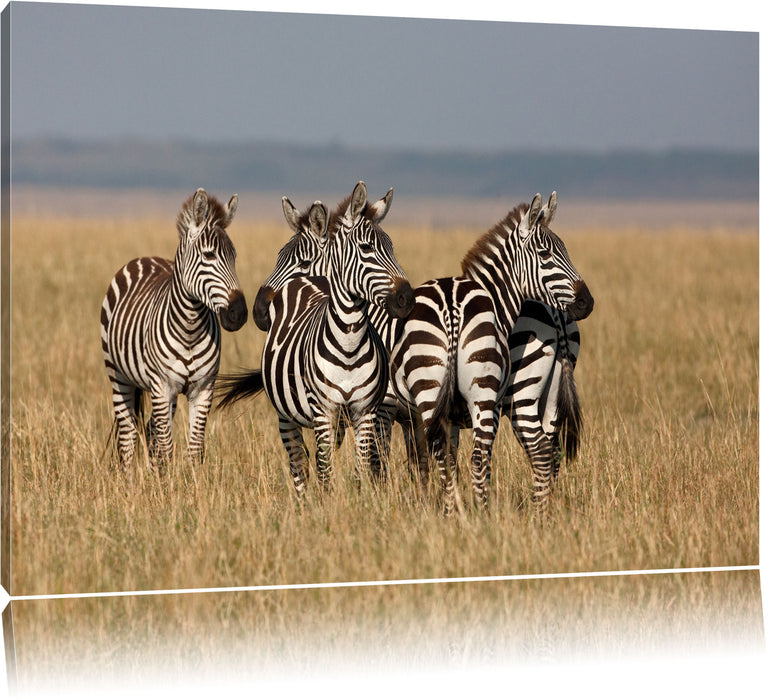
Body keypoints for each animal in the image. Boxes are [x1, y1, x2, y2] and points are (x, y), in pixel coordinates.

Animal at [100, 189, 246, 468]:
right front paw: (167, 481)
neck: (190, 328)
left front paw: (189, 480)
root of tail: (145, 258)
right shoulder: (161, 385)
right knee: (128, 434)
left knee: (151, 430)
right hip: (118, 375)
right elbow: (167, 448)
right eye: (209, 255)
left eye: (235, 257)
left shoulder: (203, 388)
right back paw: (125, 477)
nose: (239, 313)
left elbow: (194, 450)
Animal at [215, 180, 416, 498]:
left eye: (304, 261)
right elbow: (328, 468)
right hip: (286, 416)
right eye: (367, 248)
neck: (349, 343)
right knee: (299, 461)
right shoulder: (330, 411)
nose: (258, 311)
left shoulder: (372, 411)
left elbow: (365, 468)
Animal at [394, 191, 596, 516]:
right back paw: (539, 512)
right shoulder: (453, 413)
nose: (586, 302)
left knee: (520, 451)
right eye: (545, 255)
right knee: (545, 451)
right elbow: (448, 459)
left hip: (499, 394)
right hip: (536, 393)